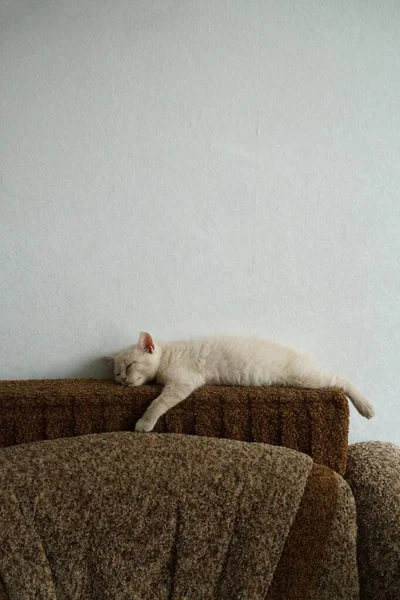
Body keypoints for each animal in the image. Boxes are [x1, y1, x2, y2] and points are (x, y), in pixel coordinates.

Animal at [106, 332, 376, 432]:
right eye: (117, 374)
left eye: (129, 366)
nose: (123, 380)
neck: (167, 356)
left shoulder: (183, 382)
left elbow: (158, 402)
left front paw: (144, 423)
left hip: (306, 378)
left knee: (339, 378)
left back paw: (366, 407)